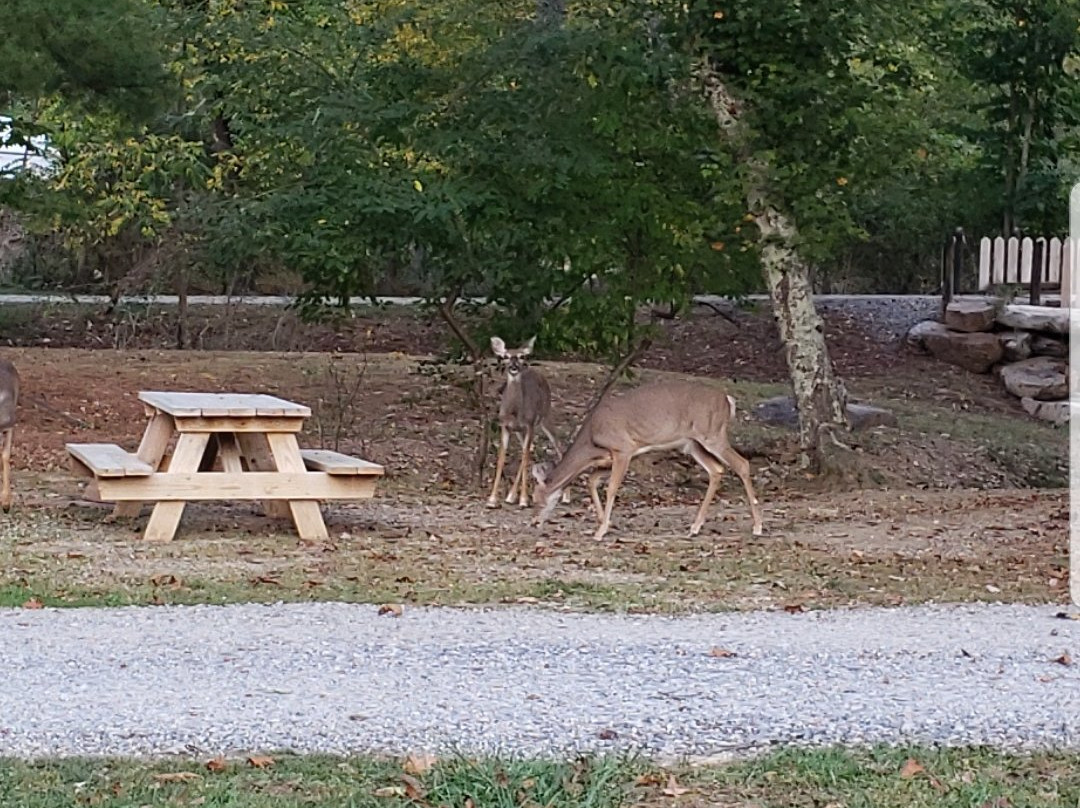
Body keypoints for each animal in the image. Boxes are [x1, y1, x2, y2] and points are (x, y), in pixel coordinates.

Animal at [487, 335, 561, 509]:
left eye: (521, 356)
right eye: (505, 356)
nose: (514, 367)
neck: (515, 412)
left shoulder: (530, 424)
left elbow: (525, 457)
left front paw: (523, 499)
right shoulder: (505, 426)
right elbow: (501, 458)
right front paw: (492, 499)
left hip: (545, 415)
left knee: (557, 445)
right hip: (522, 431)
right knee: (528, 451)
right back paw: (511, 496)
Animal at [530, 380, 763, 541]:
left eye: (535, 499)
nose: (533, 522)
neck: (592, 440)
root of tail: (728, 399)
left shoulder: (623, 448)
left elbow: (611, 488)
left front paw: (601, 530)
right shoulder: (617, 456)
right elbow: (592, 481)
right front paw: (605, 523)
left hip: (712, 434)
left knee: (742, 464)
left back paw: (757, 527)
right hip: (691, 443)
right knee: (716, 469)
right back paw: (695, 528)